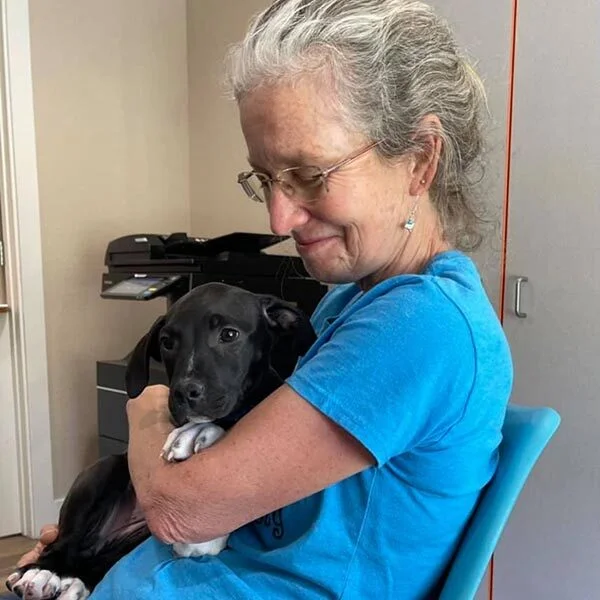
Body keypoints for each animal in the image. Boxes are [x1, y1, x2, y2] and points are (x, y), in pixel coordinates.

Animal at [7, 282, 316, 600]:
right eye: (167, 342)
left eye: (229, 334)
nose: (184, 392)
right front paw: (195, 431)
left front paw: (199, 432)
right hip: (104, 469)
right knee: (65, 544)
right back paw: (44, 572)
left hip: (132, 538)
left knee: (94, 562)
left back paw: (76, 582)